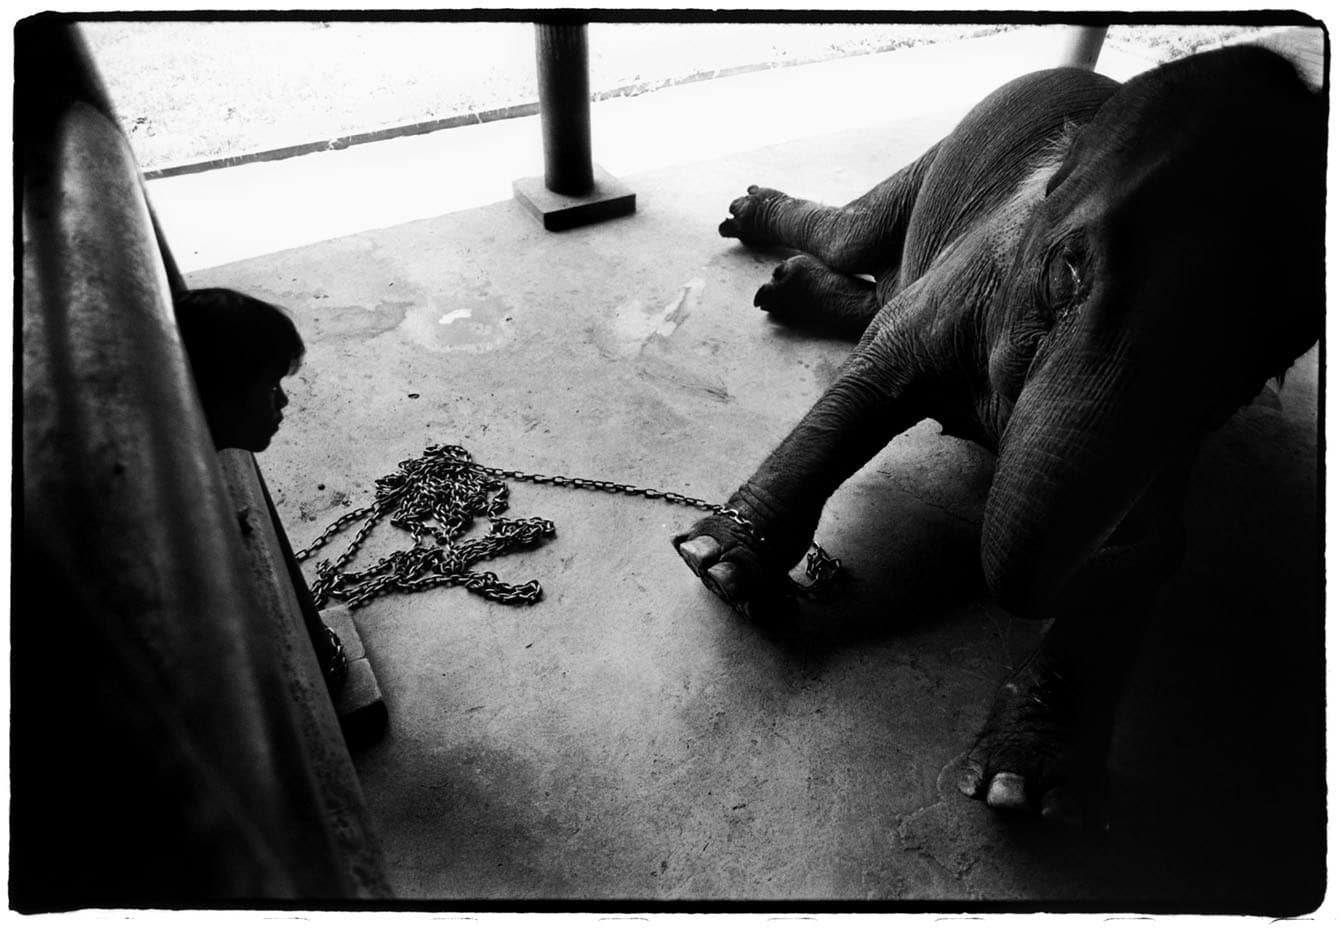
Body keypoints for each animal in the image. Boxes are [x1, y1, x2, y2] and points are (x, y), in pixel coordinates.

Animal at [670, 47, 1318, 825]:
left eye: (1255, 367)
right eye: (1069, 267)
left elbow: (1151, 541)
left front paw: (1019, 785)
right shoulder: (989, 257)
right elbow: (880, 366)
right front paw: (719, 566)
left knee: (880, 285)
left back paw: (788, 286)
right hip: (949, 150)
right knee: (856, 238)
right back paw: (754, 226)